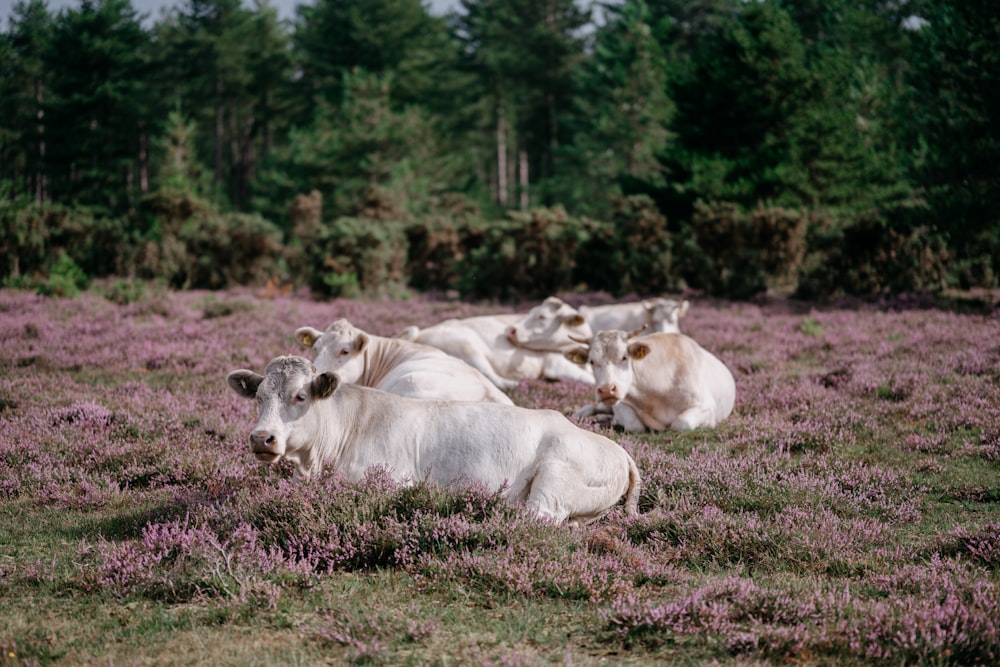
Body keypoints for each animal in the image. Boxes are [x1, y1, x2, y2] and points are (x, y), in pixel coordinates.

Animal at [225, 354, 640, 528]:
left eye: (300, 396)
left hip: (554, 479)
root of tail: (621, 454)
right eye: (259, 397)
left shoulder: (392, 480)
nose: (262, 437)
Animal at [394, 314, 588, 392]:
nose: (512, 331)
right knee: (492, 377)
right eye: (542, 318)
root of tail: (420, 333)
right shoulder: (556, 364)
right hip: (467, 348)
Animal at [564, 328, 736, 434]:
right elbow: (634, 425)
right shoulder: (620, 403)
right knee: (589, 408)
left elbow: (680, 423)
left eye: (624, 357)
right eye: (592, 361)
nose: (607, 390)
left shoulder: (707, 406)